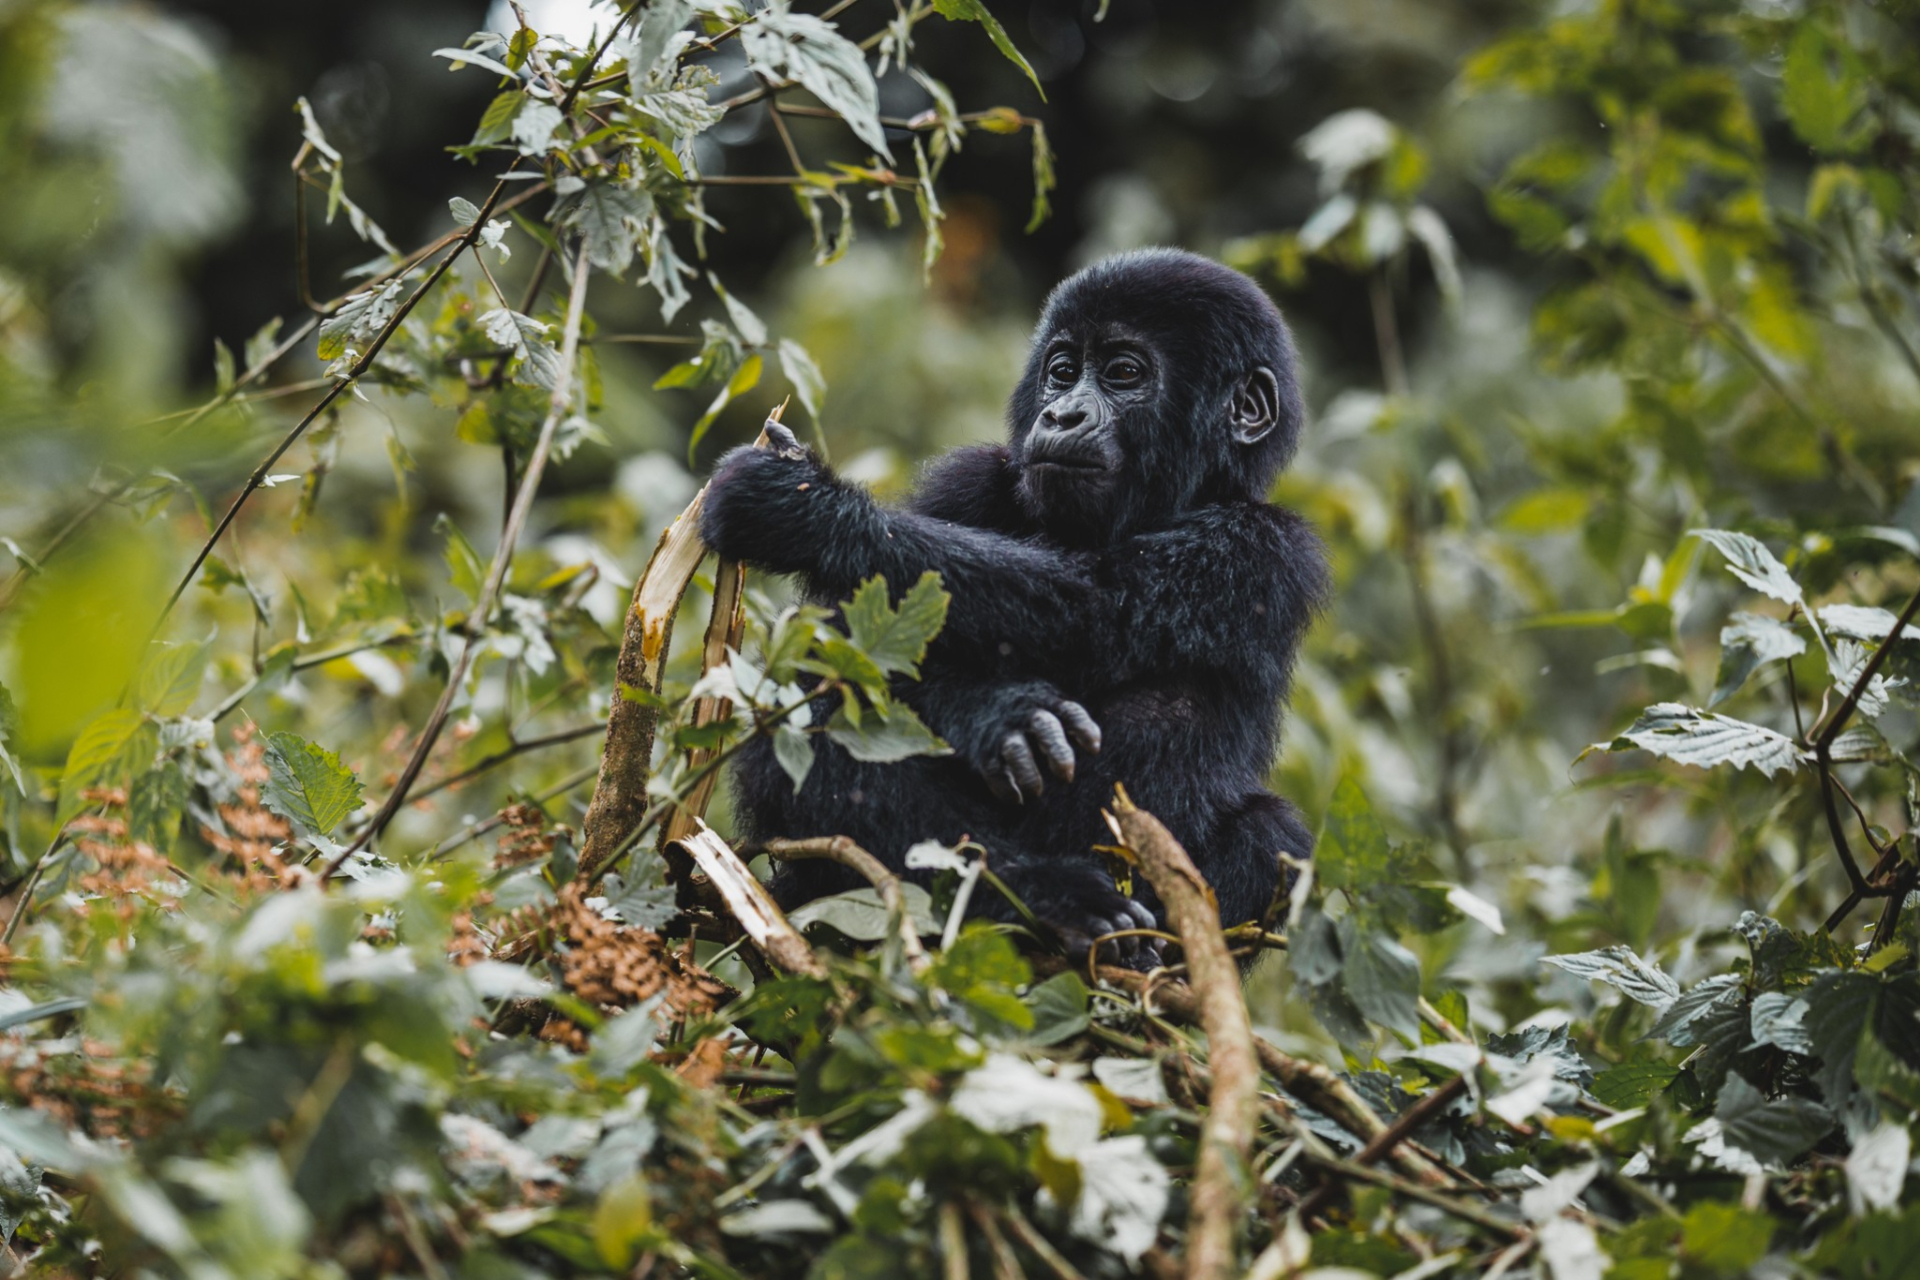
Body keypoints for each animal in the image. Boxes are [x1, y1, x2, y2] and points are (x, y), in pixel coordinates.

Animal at [698, 253, 1328, 971]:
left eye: (1124, 374)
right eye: (1063, 370)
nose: (1061, 416)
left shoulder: (1265, 548)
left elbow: (1096, 611)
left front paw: (802, 511)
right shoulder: (968, 478)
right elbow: (834, 647)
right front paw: (1001, 716)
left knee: (1270, 835)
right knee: (806, 724)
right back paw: (1038, 892)